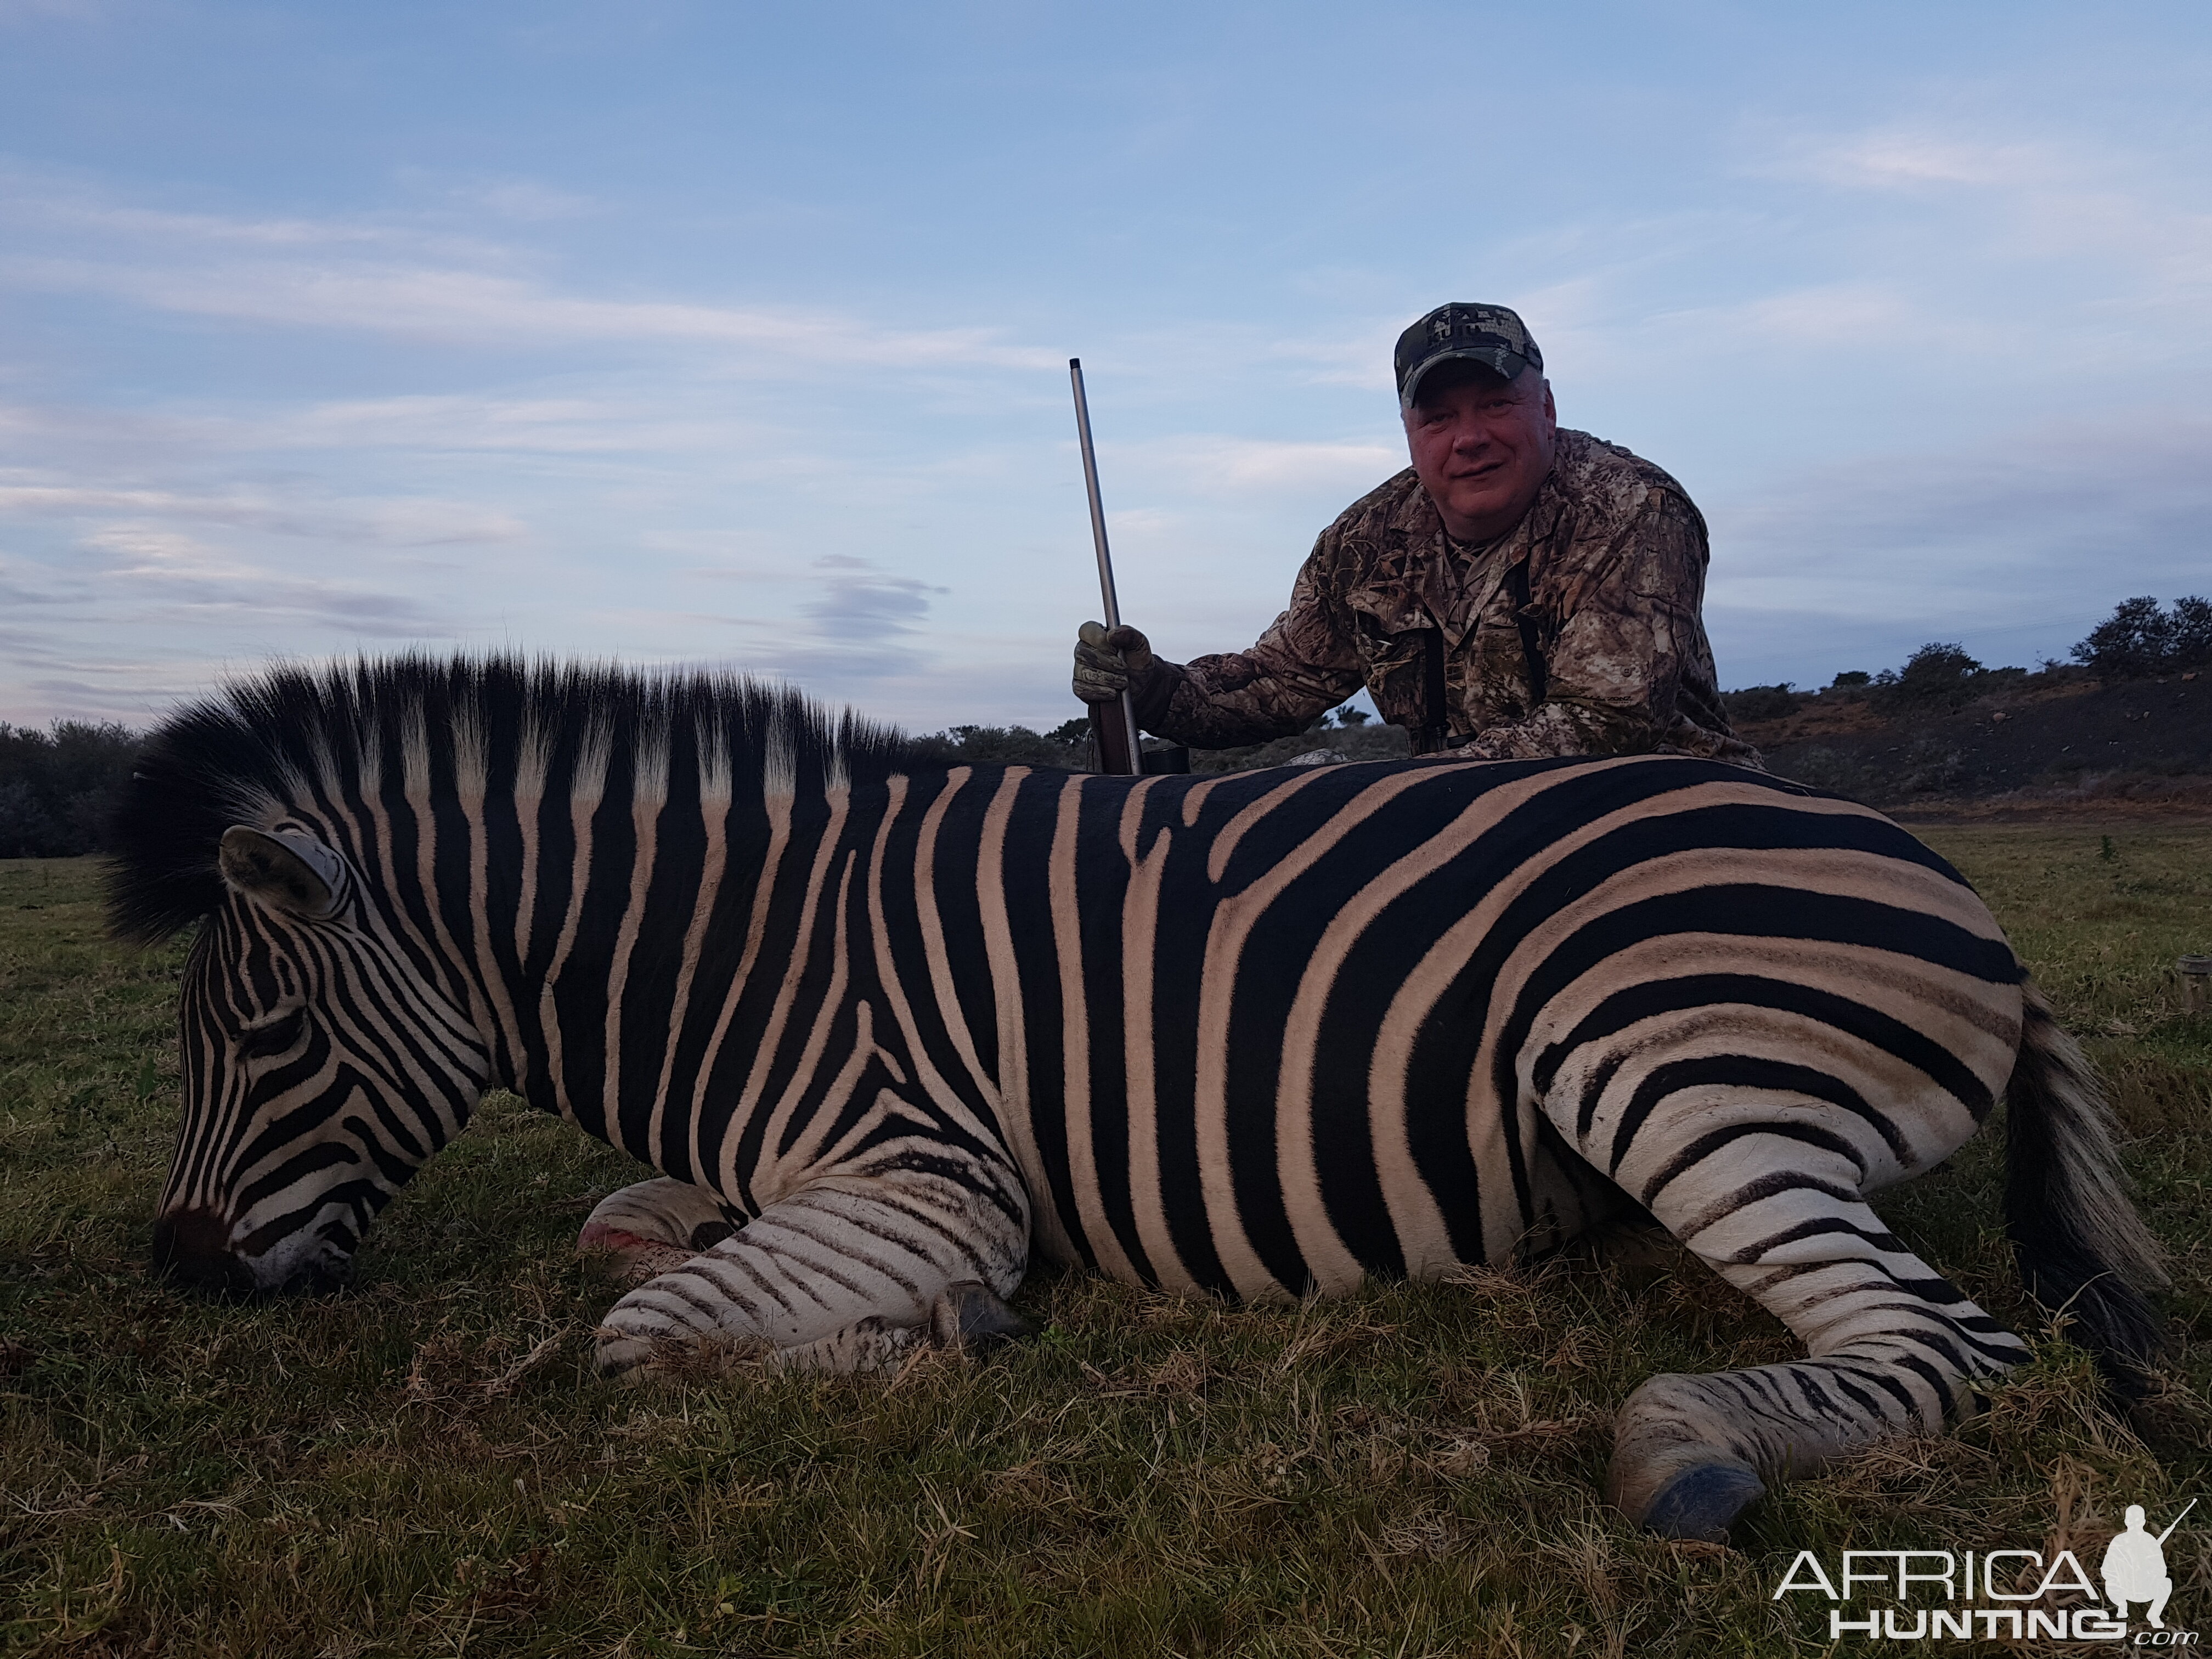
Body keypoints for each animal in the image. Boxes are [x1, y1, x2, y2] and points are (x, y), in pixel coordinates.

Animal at [108, 654, 2159, 1539]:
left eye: (259, 1040)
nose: (180, 1268)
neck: (739, 959)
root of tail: (1949, 884)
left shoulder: (926, 1174)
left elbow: (642, 1334)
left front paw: (944, 1336)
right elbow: (638, 1242)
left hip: (1651, 1061)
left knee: (1952, 1346)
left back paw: (1683, 1445)